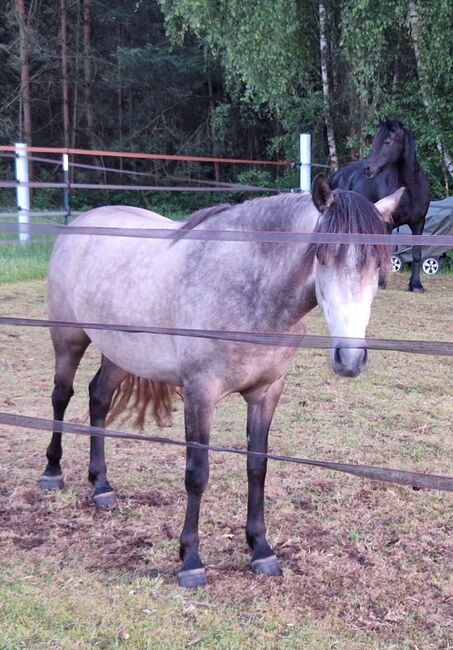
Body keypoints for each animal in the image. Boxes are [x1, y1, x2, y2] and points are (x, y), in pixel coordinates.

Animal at [328, 119, 428, 292]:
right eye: (375, 141)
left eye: (387, 141)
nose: (367, 168)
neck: (409, 188)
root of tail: (336, 175)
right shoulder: (387, 224)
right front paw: (381, 283)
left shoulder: (418, 223)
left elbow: (416, 254)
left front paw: (416, 285)